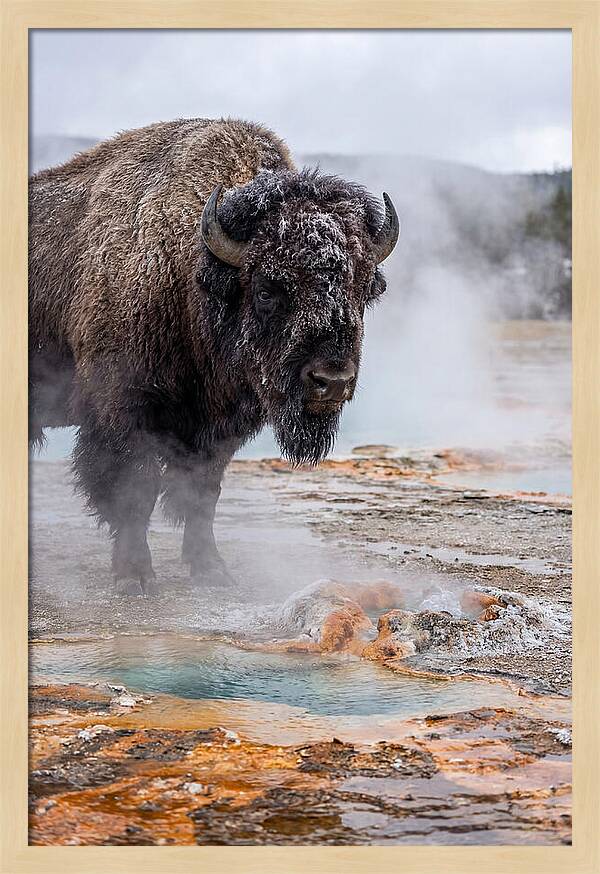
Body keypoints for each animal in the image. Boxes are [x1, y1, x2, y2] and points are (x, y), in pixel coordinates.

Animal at [29, 118, 399, 593]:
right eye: (266, 290)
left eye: (363, 289)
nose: (331, 381)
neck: (191, 273)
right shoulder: (122, 413)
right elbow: (135, 491)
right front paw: (135, 576)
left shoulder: (217, 430)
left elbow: (203, 494)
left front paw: (211, 569)